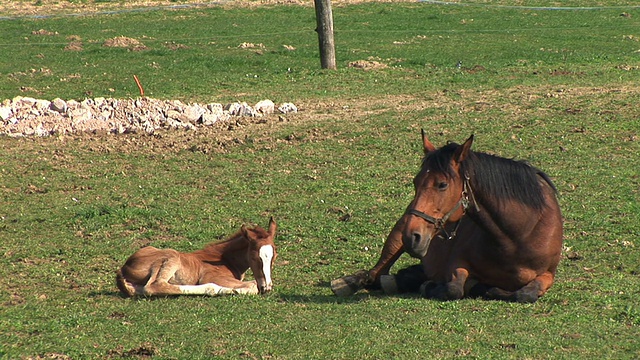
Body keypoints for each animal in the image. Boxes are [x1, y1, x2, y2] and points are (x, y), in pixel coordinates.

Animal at [117, 217, 278, 298]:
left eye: (274, 257)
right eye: (255, 257)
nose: (267, 287)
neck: (224, 258)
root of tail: (123, 268)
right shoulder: (212, 276)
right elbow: (252, 285)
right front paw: (236, 290)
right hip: (171, 256)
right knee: (155, 286)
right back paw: (216, 289)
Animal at [332, 133, 564, 304]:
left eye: (442, 184)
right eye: (416, 182)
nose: (412, 236)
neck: (516, 236)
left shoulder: (548, 274)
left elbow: (526, 294)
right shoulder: (456, 263)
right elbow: (454, 288)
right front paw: (433, 286)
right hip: (396, 239)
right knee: (374, 274)